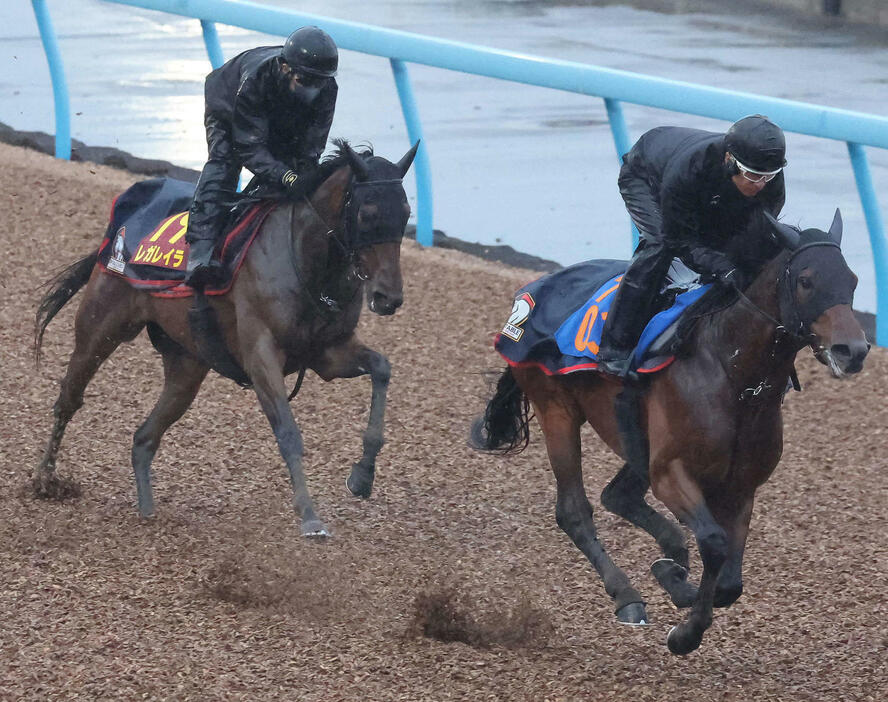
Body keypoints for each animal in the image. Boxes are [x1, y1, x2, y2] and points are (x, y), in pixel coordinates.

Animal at [34, 140, 420, 540]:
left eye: (406, 213)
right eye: (368, 213)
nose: (388, 297)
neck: (304, 258)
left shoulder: (327, 353)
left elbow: (382, 368)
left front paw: (363, 475)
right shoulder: (261, 355)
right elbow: (288, 431)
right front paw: (310, 517)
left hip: (187, 365)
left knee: (144, 438)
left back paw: (147, 511)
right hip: (101, 326)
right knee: (69, 399)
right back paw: (46, 480)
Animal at [472, 212, 868, 656]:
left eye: (852, 280)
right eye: (806, 280)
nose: (853, 350)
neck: (733, 376)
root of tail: (528, 297)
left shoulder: (740, 487)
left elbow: (731, 580)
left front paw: (678, 580)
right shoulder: (671, 472)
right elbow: (713, 542)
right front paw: (685, 628)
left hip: (636, 444)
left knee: (618, 496)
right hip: (556, 410)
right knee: (574, 511)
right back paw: (628, 596)